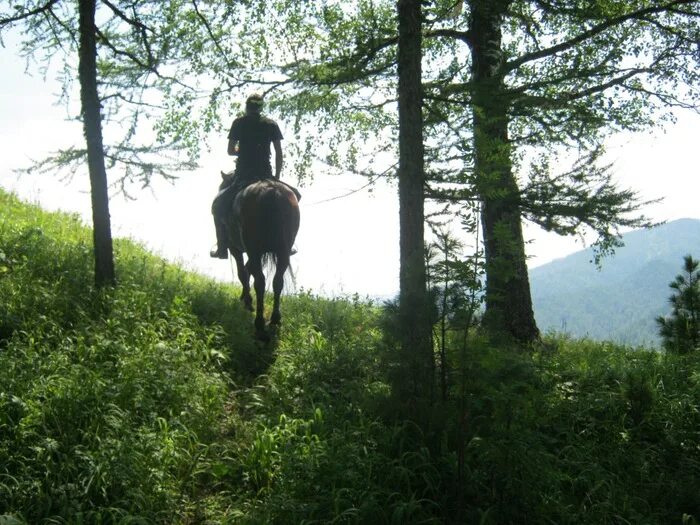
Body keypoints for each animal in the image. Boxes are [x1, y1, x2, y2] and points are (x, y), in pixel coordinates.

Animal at [226, 179, 300, 336]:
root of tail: (272, 190)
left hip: (253, 250)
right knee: (277, 281)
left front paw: (247, 301)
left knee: (259, 282)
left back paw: (259, 323)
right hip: (283, 252)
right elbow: (247, 271)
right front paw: (245, 298)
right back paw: (275, 320)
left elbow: (243, 273)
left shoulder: (235, 249)